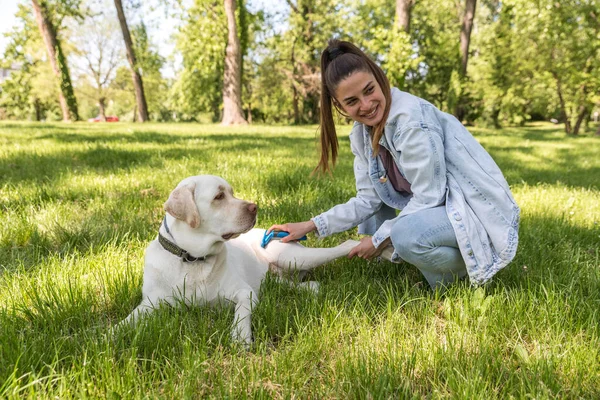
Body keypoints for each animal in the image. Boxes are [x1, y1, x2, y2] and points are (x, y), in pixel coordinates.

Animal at [121, 174, 360, 344]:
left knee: (345, 246)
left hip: (293, 256)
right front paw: (111, 337)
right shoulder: (150, 303)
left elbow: (241, 313)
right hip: (276, 276)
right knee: (294, 284)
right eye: (219, 197)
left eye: (232, 192)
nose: (255, 207)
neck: (192, 259)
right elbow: (126, 321)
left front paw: (240, 336)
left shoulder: (245, 293)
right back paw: (311, 287)